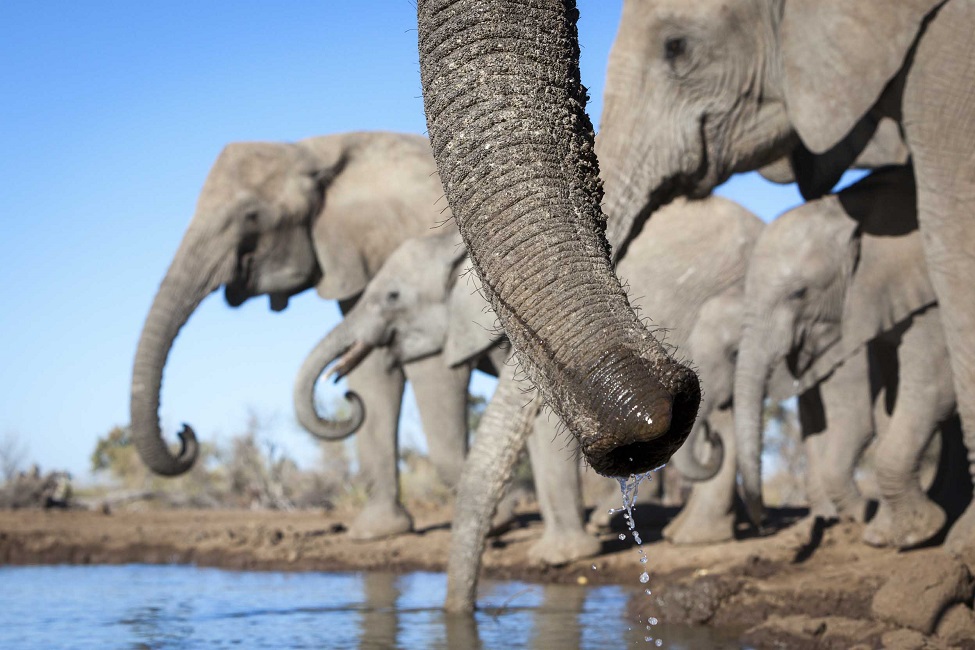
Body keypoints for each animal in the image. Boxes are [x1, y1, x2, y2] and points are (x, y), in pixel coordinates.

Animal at [130, 130, 480, 536]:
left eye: (252, 215)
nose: (184, 433)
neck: (316, 152)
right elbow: (372, 371)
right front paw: (376, 532)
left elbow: (432, 366)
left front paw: (495, 522)